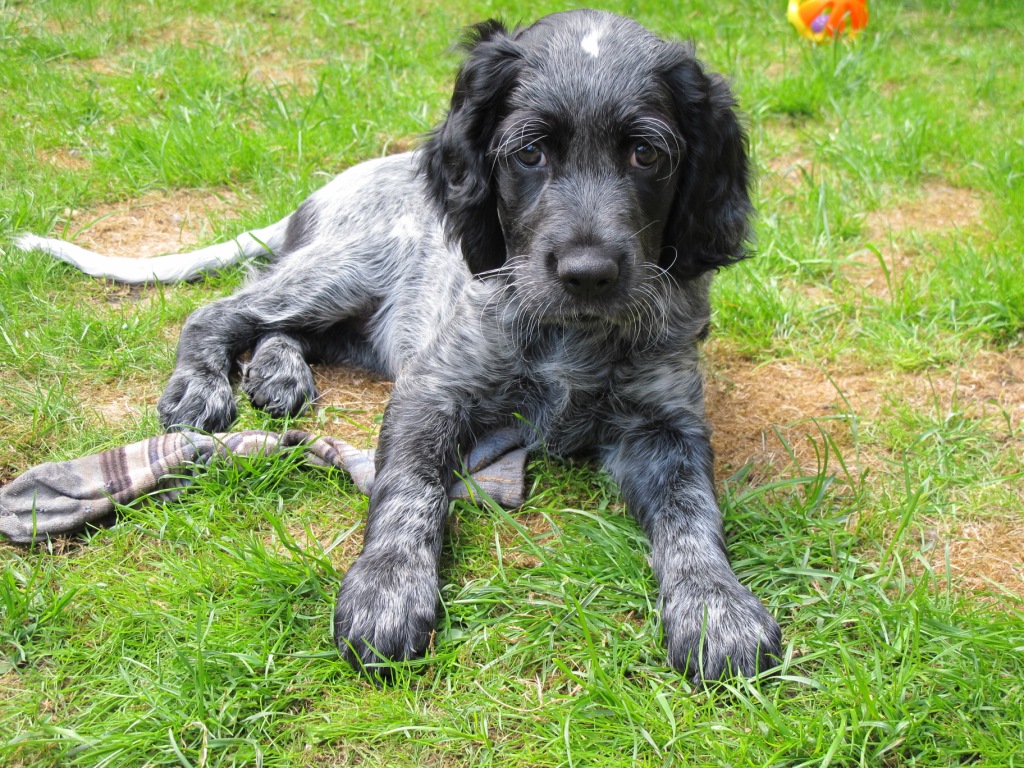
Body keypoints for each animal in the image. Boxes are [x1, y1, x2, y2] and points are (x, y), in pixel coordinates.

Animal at [16, 10, 778, 684]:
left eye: (646, 154)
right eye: (530, 153)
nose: (588, 273)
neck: (573, 337)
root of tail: (318, 196)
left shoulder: (664, 424)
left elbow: (692, 513)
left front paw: (717, 608)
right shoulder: (432, 388)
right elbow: (409, 486)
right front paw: (386, 590)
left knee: (280, 330)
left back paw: (279, 376)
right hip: (348, 266)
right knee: (225, 309)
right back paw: (202, 385)